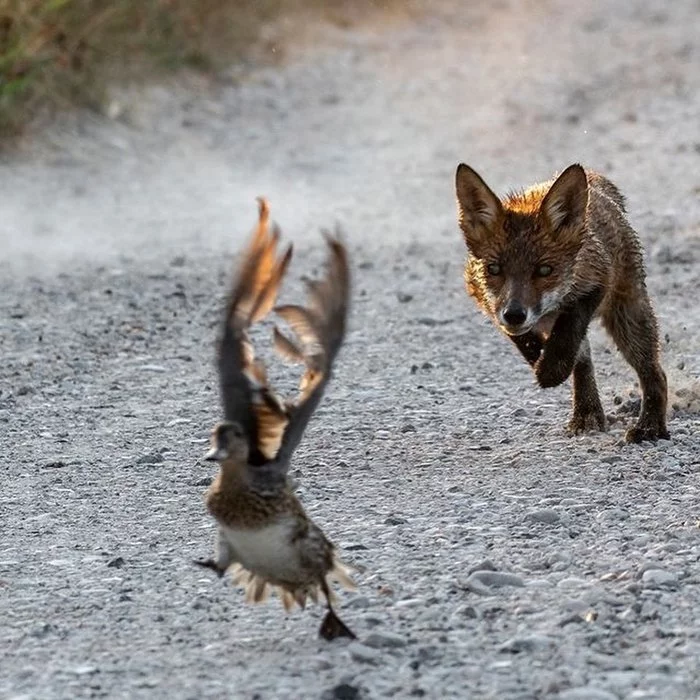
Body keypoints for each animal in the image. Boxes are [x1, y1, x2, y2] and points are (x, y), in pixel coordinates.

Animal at [454, 162, 669, 444]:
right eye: (494, 269)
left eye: (545, 270)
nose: (515, 314)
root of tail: (594, 178)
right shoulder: (487, 302)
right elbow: (528, 341)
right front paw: (542, 361)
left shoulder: (598, 279)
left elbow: (569, 329)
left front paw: (551, 369)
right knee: (585, 361)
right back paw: (587, 412)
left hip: (629, 316)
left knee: (655, 373)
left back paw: (649, 426)